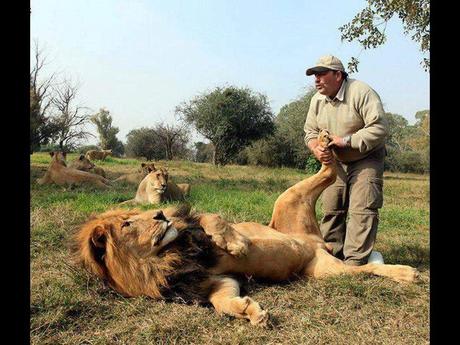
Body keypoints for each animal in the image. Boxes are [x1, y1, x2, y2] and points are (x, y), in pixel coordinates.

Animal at [73, 130, 420, 326]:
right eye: (128, 223)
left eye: (135, 215)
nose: (160, 214)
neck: (165, 257)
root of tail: (316, 243)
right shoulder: (214, 281)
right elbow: (222, 302)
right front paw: (251, 312)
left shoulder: (197, 224)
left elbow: (213, 220)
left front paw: (237, 245)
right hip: (325, 270)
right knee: (365, 268)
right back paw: (404, 273)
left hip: (288, 198)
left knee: (329, 170)